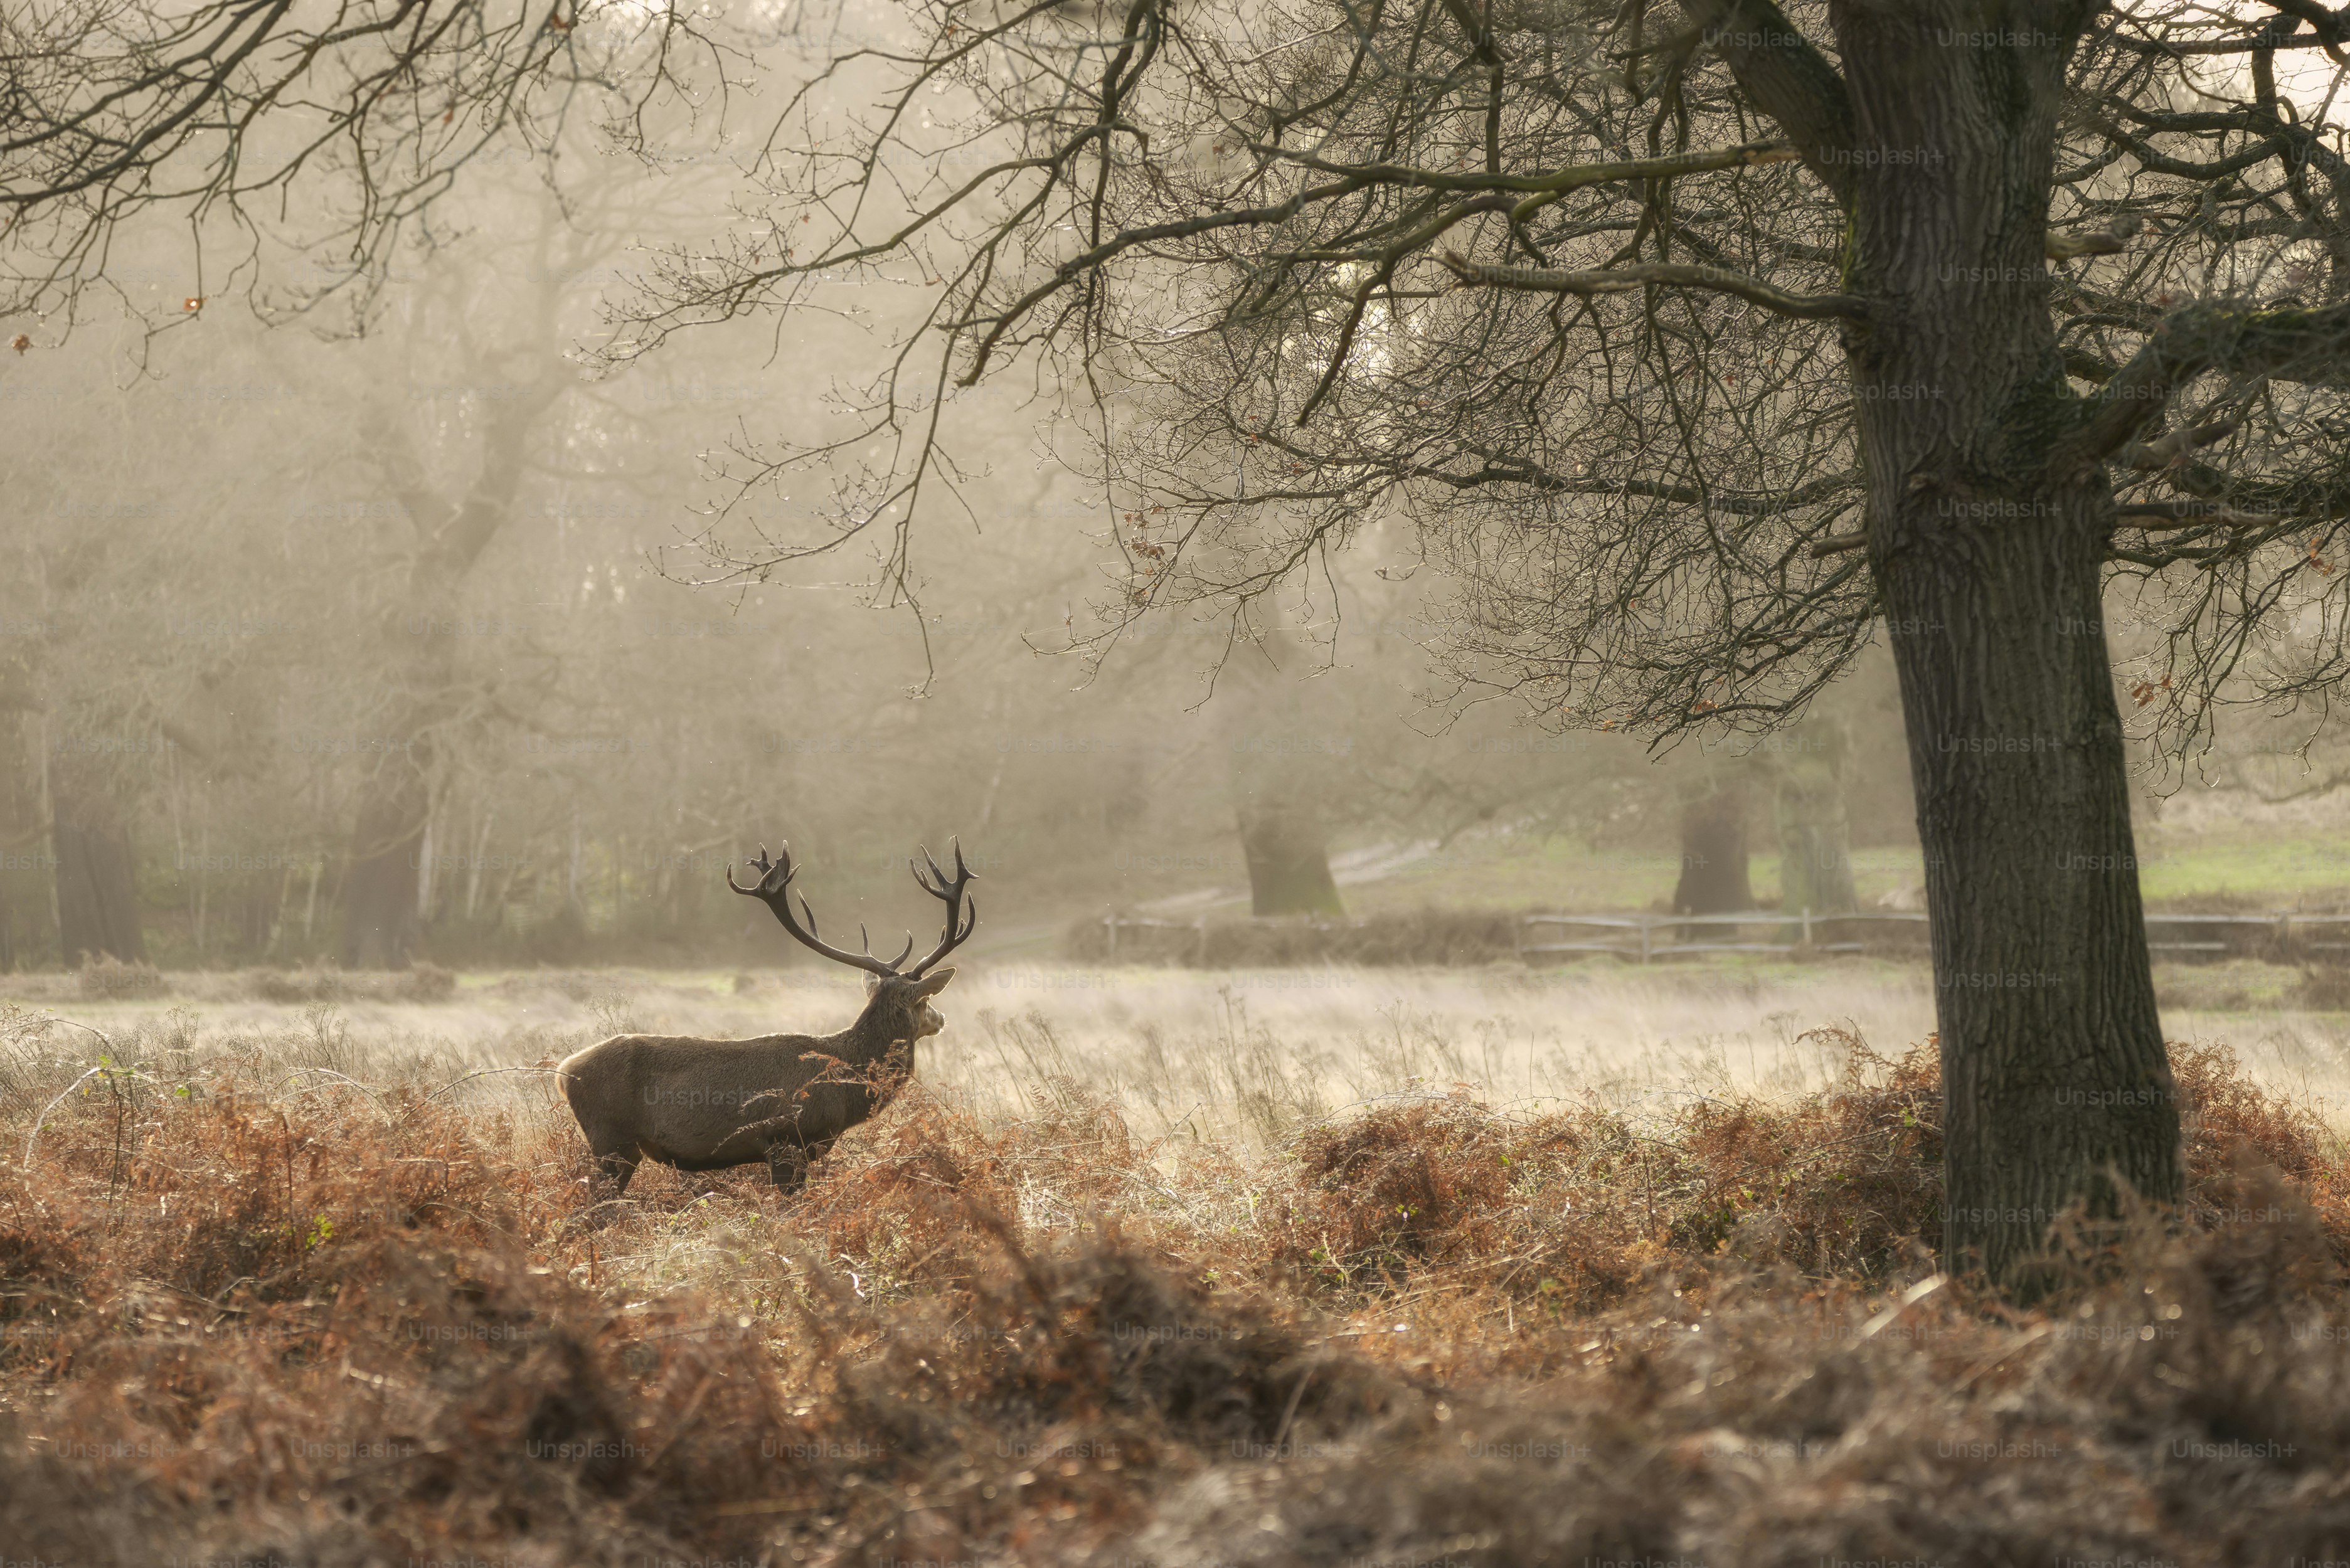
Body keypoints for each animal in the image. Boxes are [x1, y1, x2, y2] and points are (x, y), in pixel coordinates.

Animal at [558, 840, 974, 1213]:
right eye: (924, 1001)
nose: (941, 1019)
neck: (845, 1087)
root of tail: (564, 1072)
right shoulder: (787, 1140)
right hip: (612, 1141)